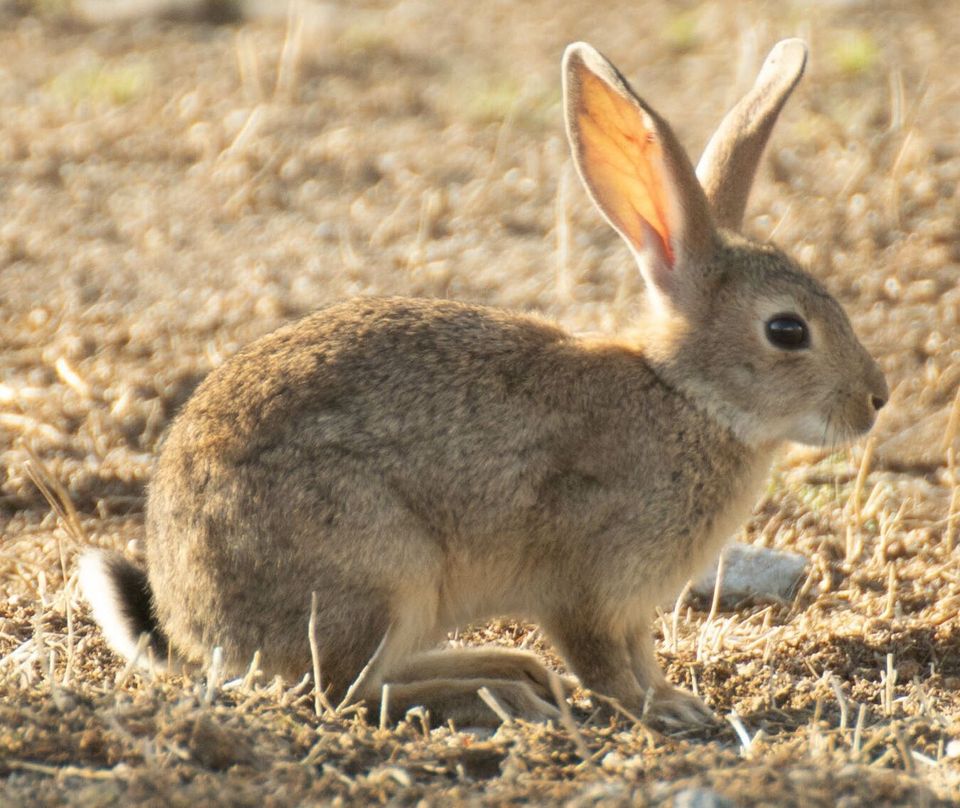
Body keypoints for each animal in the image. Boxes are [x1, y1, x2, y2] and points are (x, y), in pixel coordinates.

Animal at [79, 38, 887, 728]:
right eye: (787, 330)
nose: (875, 400)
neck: (686, 396)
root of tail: (191, 620)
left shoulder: (630, 607)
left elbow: (640, 657)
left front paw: (674, 699)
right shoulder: (588, 584)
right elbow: (607, 668)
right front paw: (662, 713)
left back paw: (508, 669)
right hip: (380, 574)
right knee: (342, 692)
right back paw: (499, 694)